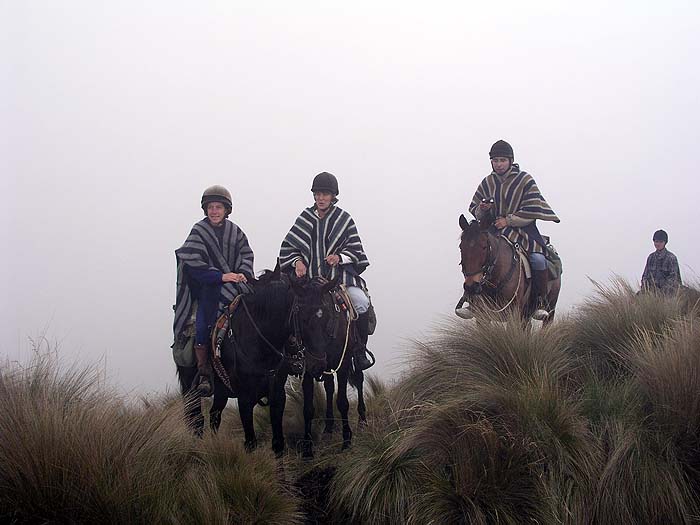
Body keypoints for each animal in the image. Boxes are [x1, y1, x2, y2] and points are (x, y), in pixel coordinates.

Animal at [175, 266, 298, 454]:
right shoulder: (245, 398)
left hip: (221, 391)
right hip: (191, 389)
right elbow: (250, 443)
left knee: (214, 416)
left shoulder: (278, 395)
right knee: (196, 420)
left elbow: (278, 443)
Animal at [292, 276, 370, 456]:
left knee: (359, 379)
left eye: (326, 315)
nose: (316, 363)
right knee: (328, 387)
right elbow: (308, 409)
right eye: (301, 316)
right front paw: (307, 450)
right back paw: (328, 428)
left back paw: (362, 420)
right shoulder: (307, 371)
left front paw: (347, 441)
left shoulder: (343, 363)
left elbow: (342, 402)